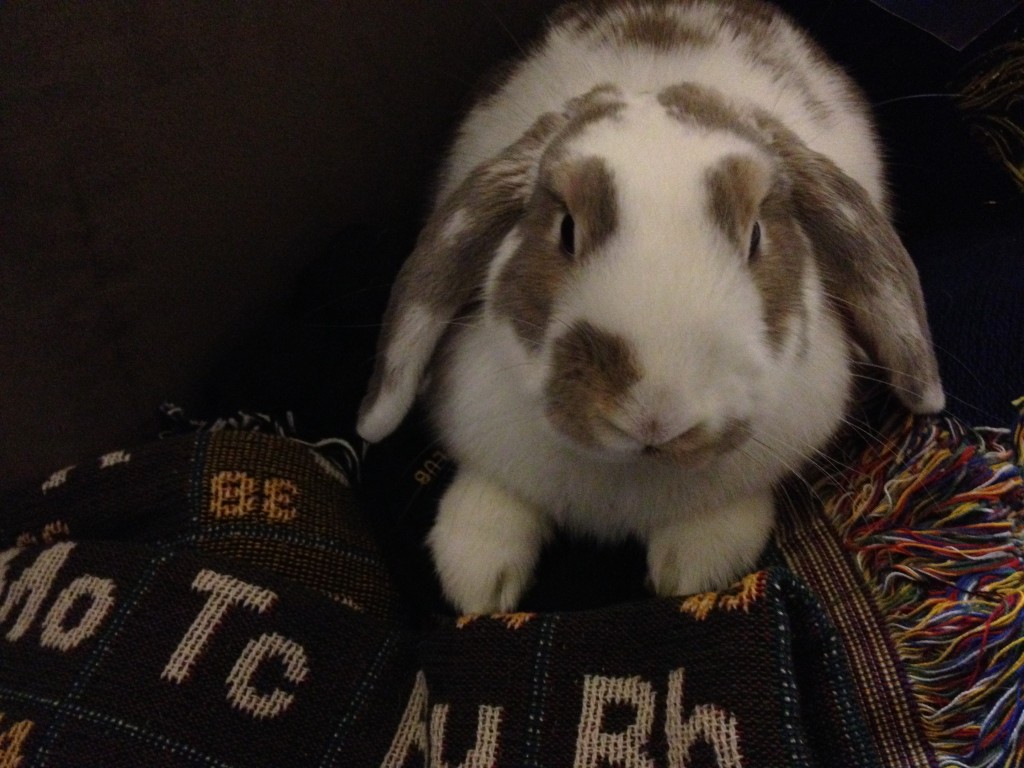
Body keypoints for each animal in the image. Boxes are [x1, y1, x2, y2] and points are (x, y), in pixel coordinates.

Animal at [357, 0, 945, 614]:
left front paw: (690, 569)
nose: (655, 413)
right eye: (566, 230)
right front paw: (476, 582)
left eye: (756, 235)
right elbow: (491, 496)